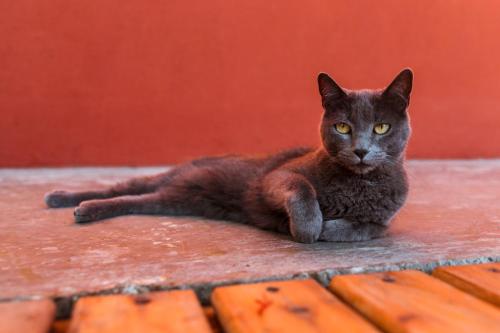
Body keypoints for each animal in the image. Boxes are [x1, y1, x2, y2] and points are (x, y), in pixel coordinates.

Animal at [45, 68, 412, 243]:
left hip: (174, 200)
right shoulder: (277, 176)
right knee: (120, 188)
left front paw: (325, 227)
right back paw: (65, 199)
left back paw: (86, 209)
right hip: (169, 176)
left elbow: (360, 228)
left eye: (381, 127)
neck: (358, 184)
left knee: (135, 200)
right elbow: (301, 188)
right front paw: (309, 227)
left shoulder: (381, 222)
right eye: (342, 127)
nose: (361, 150)